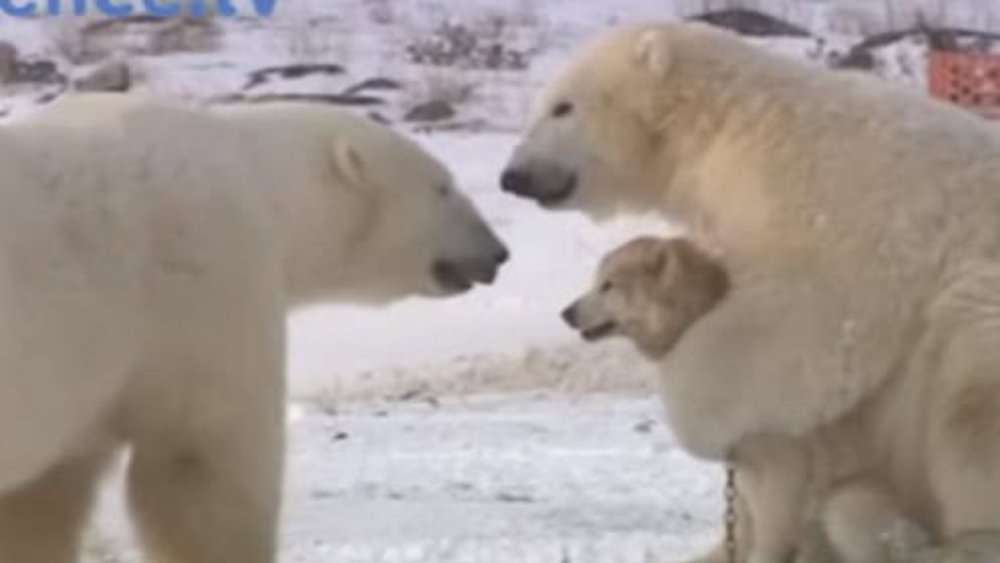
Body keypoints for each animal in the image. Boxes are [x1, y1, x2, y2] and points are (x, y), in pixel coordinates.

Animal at [0, 92, 508, 563]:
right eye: (442, 187)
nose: (497, 251)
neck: (256, 174)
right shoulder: (206, 289)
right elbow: (202, 467)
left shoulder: (81, 395)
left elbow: (41, 502)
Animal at [563, 236, 931, 563]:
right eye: (597, 281)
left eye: (608, 285)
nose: (566, 312)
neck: (700, 323)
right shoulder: (741, 465)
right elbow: (740, 524)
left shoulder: (785, 462)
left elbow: (773, 527)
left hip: (850, 504)